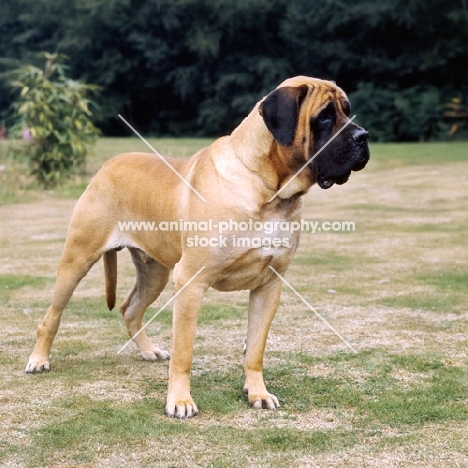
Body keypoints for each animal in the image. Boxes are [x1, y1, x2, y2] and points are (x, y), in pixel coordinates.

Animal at [25, 75, 370, 418]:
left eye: (346, 109)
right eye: (324, 117)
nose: (364, 136)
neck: (268, 190)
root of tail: (107, 165)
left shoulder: (269, 286)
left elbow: (256, 348)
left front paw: (257, 392)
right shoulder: (191, 282)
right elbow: (184, 352)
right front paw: (180, 401)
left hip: (155, 274)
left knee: (130, 309)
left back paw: (149, 351)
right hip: (77, 261)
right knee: (51, 317)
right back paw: (39, 360)